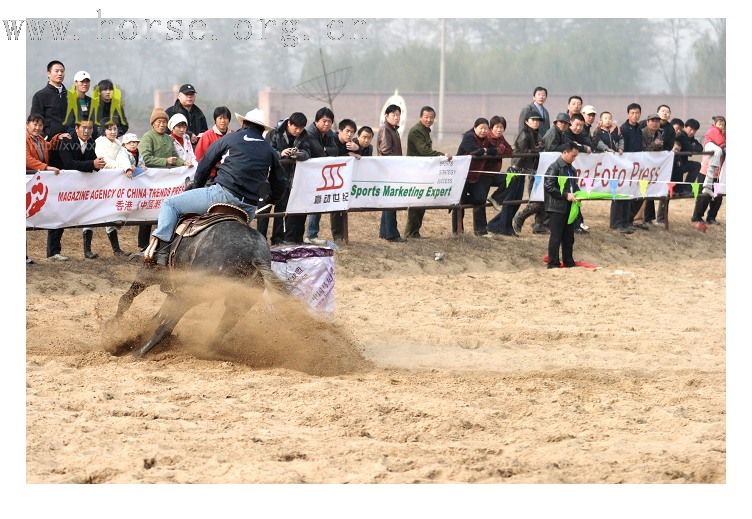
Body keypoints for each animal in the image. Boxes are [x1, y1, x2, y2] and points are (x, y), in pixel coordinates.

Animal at [111, 210, 284, 358]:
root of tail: (254, 255)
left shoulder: (150, 272)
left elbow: (126, 300)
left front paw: (110, 327)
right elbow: (158, 314)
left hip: (190, 292)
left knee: (167, 326)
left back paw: (138, 352)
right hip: (239, 303)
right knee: (216, 333)